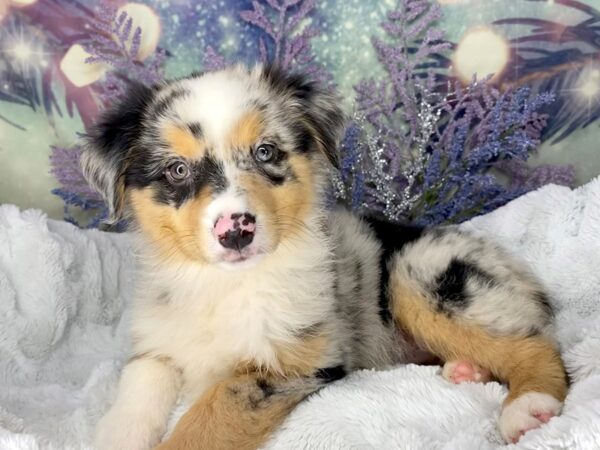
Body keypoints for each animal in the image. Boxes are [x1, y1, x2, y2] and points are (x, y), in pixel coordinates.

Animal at [83, 64, 568, 450]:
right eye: (178, 170)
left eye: (266, 152)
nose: (236, 230)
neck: (225, 283)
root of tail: (522, 275)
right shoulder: (160, 338)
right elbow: (139, 379)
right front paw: (115, 433)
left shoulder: (292, 362)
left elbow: (216, 410)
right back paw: (465, 370)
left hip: (422, 276)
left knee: (536, 344)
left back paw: (529, 406)